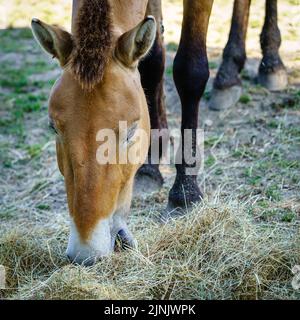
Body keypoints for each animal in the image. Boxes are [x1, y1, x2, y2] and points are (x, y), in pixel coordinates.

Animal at [31, 0, 288, 264]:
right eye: (53, 127)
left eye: (130, 132)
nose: (86, 250)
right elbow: (152, 62)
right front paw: (151, 164)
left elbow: (190, 70)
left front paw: (184, 194)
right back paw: (229, 73)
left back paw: (267, 65)